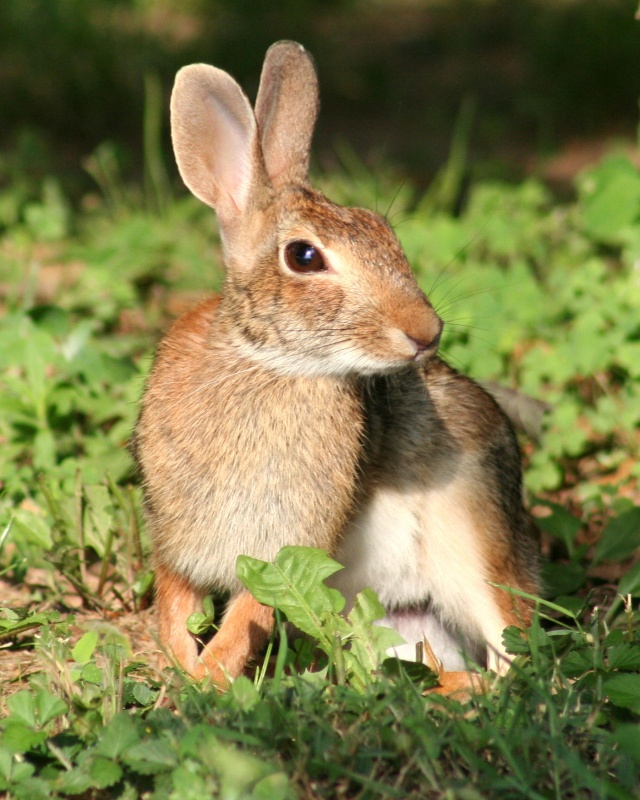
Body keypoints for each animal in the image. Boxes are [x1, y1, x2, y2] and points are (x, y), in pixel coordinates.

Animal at [132, 40, 540, 689]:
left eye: (385, 231)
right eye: (303, 257)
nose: (427, 331)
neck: (272, 362)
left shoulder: (289, 543)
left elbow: (247, 617)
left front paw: (206, 683)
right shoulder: (179, 537)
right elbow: (176, 602)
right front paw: (184, 670)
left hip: (473, 542)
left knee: (513, 662)